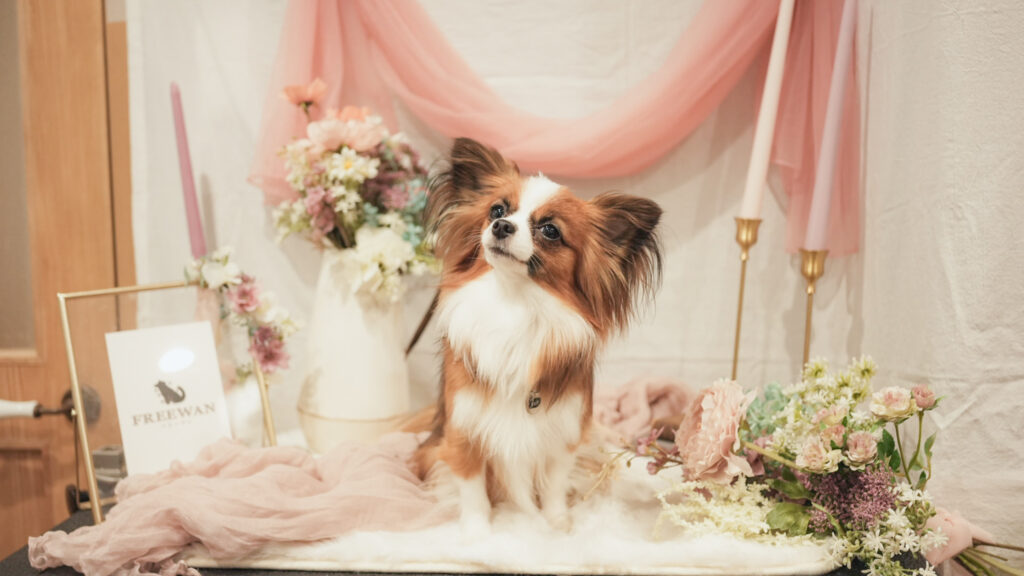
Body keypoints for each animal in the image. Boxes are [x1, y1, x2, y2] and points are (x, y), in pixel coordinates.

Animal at [414, 138, 662, 532]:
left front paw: (557, 524)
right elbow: (471, 486)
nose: (501, 226)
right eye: (497, 209)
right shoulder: (464, 429)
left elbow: (555, 485)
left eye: (550, 230)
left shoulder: (562, 433)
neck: (515, 304)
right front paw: (476, 531)